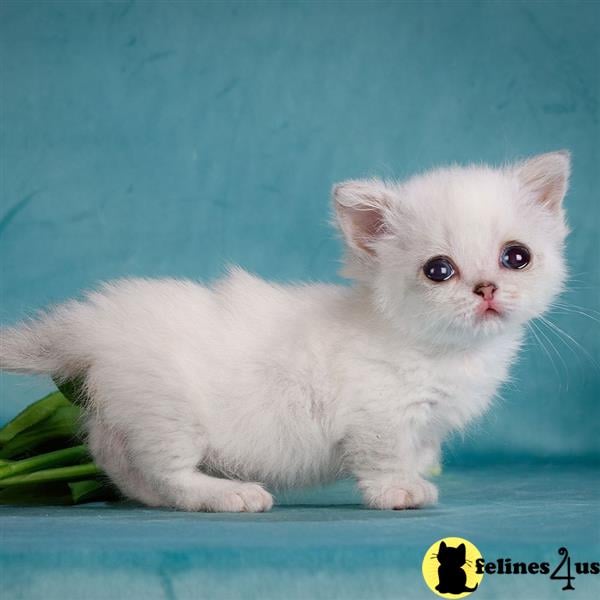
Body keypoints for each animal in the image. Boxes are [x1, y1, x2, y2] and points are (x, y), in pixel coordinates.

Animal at [0, 152, 568, 512]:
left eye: (516, 257)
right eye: (439, 270)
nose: (487, 288)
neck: (444, 352)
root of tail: (92, 320)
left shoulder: (422, 427)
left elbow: (417, 453)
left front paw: (416, 477)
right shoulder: (377, 418)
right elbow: (386, 459)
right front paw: (398, 492)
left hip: (126, 415)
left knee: (121, 465)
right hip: (170, 415)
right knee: (170, 474)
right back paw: (229, 496)